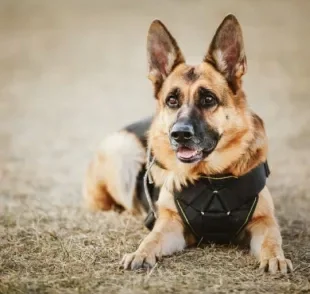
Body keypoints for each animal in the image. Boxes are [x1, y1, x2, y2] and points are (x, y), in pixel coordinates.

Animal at [84, 14, 294, 274]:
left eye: (208, 99)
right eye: (172, 100)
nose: (180, 134)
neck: (213, 179)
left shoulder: (263, 221)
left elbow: (271, 240)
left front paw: (276, 258)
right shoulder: (170, 224)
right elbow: (151, 238)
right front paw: (139, 253)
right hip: (122, 150)